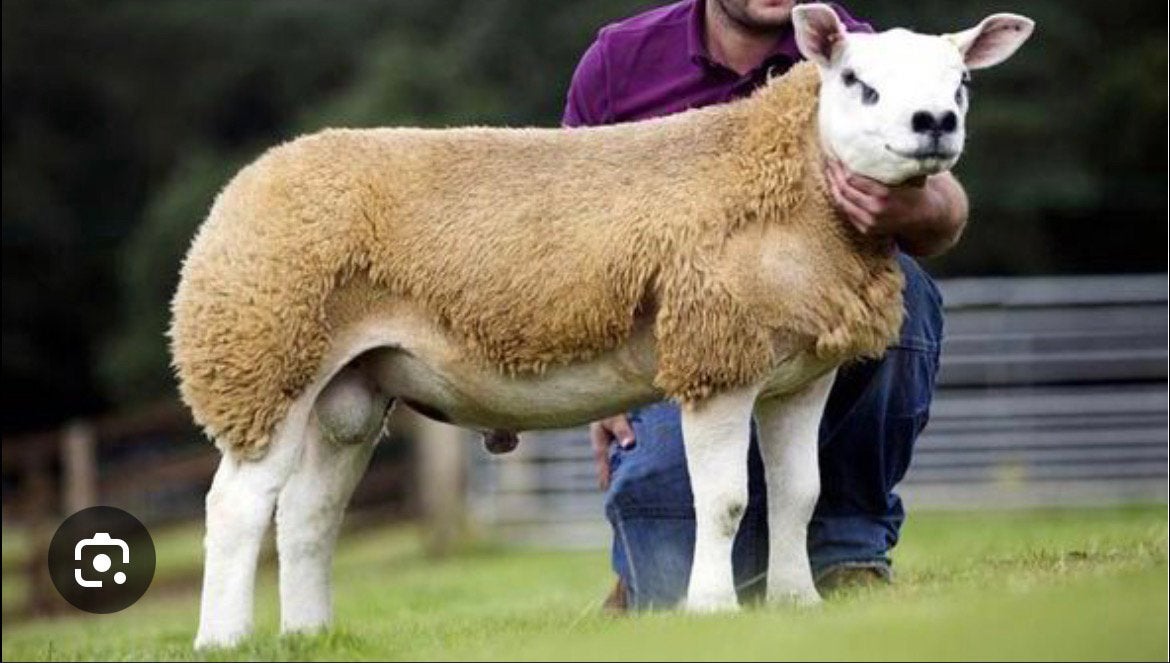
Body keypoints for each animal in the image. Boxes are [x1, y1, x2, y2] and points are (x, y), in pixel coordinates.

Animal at [173, 5, 1033, 648]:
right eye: (858, 83)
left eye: (962, 81)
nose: (933, 122)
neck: (793, 183)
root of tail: (245, 185)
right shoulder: (716, 352)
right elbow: (725, 501)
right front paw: (712, 609)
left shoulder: (801, 368)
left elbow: (799, 493)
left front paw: (798, 604)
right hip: (263, 352)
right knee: (237, 507)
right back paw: (224, 638)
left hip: (349, 386)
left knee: (308, 513)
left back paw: (310, 634)